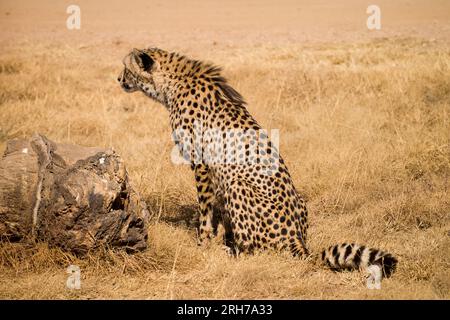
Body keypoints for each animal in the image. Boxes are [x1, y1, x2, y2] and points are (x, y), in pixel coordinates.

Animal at [118, 47, 398, 278]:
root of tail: (298, 240)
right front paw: (222, 239)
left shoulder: (202, 163)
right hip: (295, 198)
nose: (118, 79)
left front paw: (204, 244)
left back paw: (234, 254)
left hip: (238, 183)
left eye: (126, 68)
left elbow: (205, 212)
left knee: (254, 249)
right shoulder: (216, 172)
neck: (173, 83)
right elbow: (221, 214)